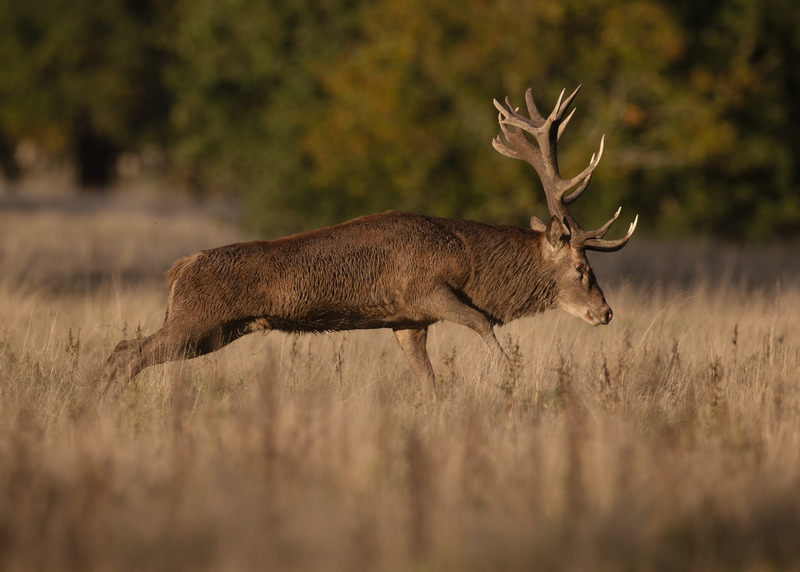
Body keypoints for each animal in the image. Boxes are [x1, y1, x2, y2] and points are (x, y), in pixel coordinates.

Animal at [97, 85, 637, 399]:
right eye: (582, 269)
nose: (607, 312)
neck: (471, 263)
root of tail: (179, 269)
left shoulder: (407, 321)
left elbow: (428, 380)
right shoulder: (427, 290)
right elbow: (483, 324)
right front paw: (511, 379)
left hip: (216, 329)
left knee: (123, 347)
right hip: (198, 319)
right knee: (130, 355)